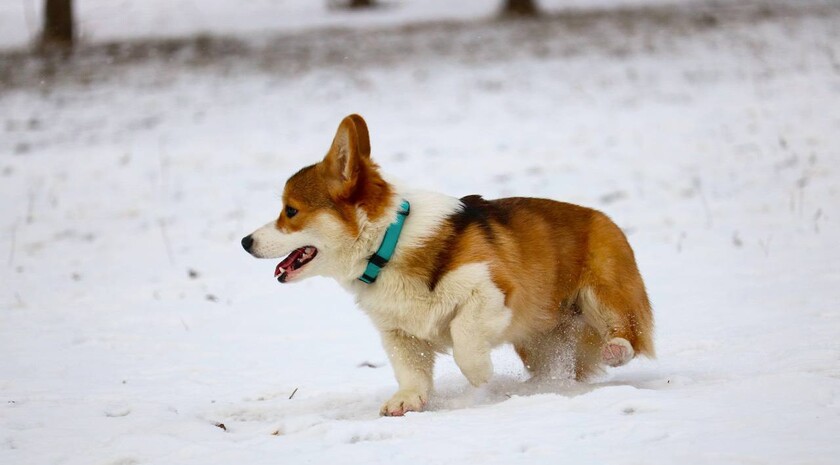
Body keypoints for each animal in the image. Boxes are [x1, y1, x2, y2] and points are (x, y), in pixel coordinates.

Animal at [240, 114, 652, 416]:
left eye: (290, 211)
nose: (245, 242)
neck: (387, 243)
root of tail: (602, 216)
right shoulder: (399, 333)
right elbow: (411, 371)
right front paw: (407, 400)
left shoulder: (490, 290)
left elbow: (464, 340)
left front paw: (480, 375)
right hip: (537, 339)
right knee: (552, 366)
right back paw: (539, 387)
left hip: (603, 291)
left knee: (628, 332)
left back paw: (616, 349)